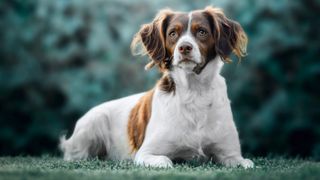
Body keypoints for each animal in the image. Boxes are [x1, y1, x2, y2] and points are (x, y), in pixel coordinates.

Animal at [59, 5, 255, 169]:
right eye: (173, 33)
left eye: (202, 31)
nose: (185, 47)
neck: (194, 91)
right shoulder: (146, 153)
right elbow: (166, 160)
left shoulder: (231, 154)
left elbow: (246, 163)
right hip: (92, 124)